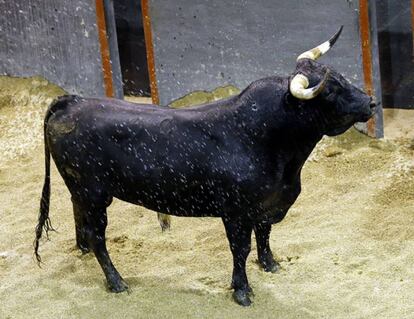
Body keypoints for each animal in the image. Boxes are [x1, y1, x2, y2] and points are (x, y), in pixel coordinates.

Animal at [34, 32, 376, 308]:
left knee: (79, 218)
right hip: (94, 195)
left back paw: (83, 252)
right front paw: (242, 291)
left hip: (82, 192)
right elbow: (241, 249)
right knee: (98, 235)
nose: (371, 103)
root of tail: (73, 101)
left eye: (342, 77)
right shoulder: (236, 213)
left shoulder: (265, 205)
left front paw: (270, 265)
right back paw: (117, 282)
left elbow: (264, 235)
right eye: (329, 91)